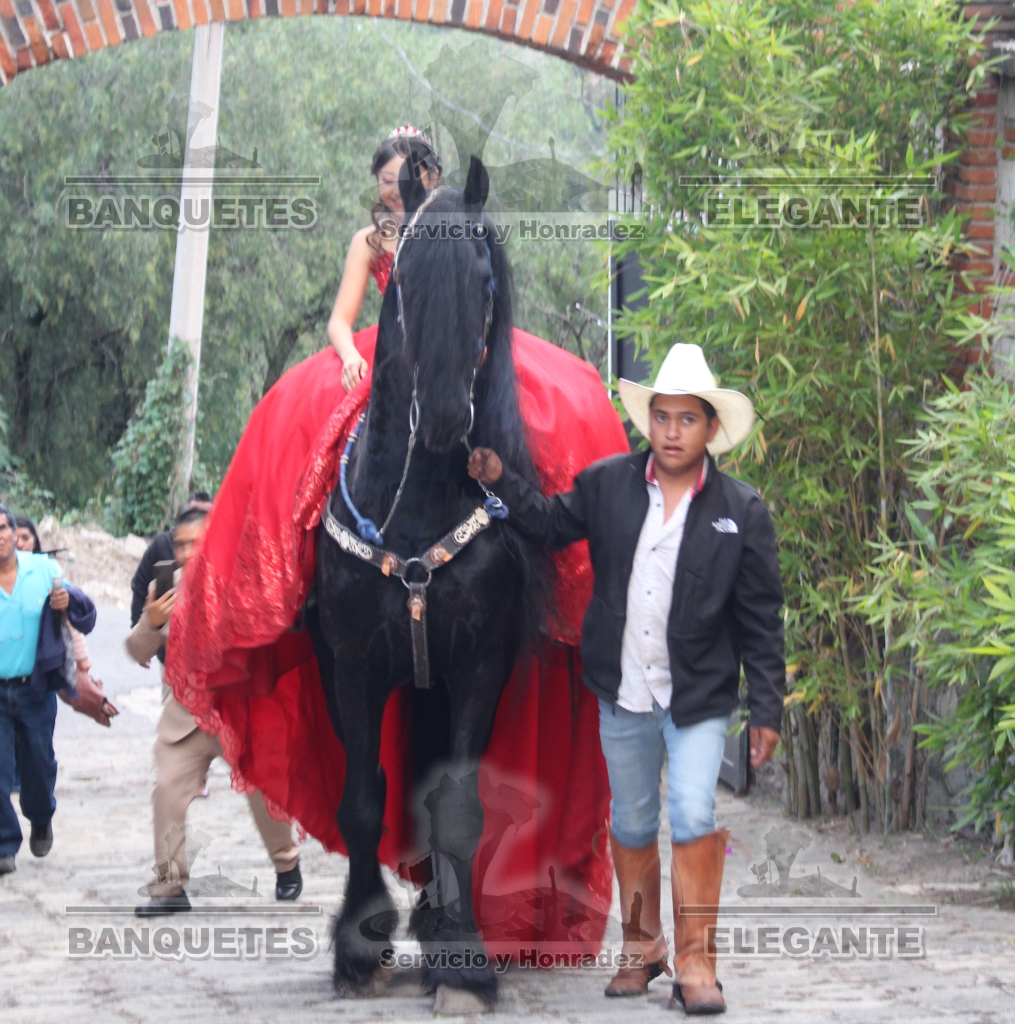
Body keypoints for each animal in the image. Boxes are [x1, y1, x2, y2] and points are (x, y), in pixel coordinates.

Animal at [309, 156, 546, 1009]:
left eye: (482, 279)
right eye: (403, 282)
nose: (445, 420)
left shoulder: (479, 665)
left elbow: (460, 807)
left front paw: (464, 958)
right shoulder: (350, 664)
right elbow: (363, 798)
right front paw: (359, 945)